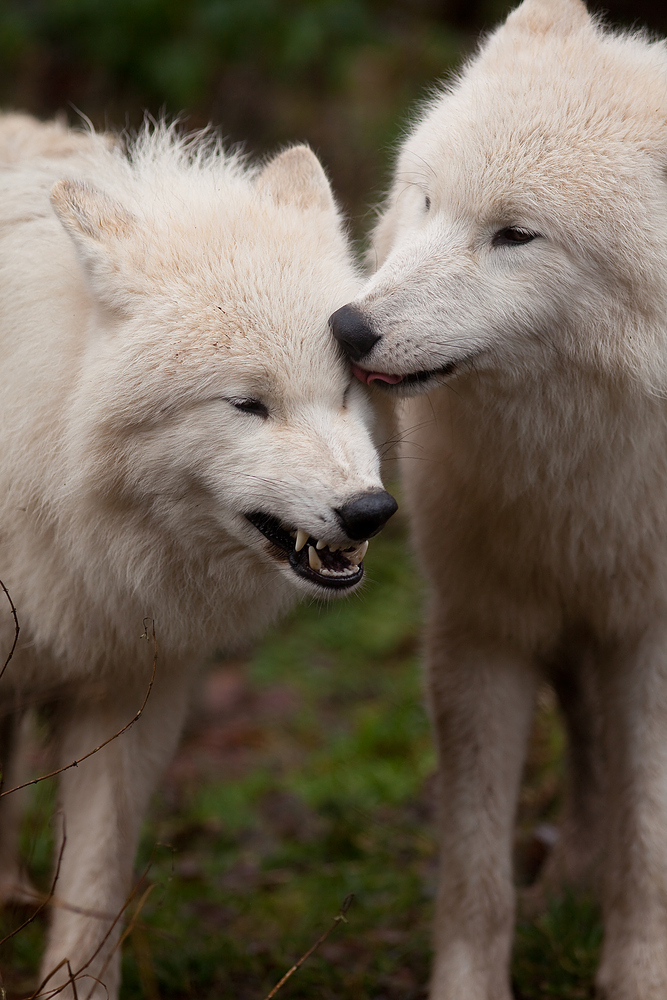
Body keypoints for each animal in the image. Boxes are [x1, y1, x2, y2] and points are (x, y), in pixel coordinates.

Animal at [332, 1, 667, 1000]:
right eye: (426, 202)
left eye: (514, 235)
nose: (346, 327)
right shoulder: (480, 629)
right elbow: (473, 871)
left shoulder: (650, 636)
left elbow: (650, 842)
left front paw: (639, 972)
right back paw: (569, 883)